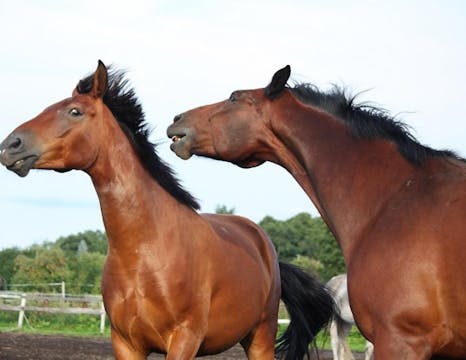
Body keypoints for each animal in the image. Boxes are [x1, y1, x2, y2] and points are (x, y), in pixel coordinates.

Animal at [0, 62, 334, 360]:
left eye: (74, 112)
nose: (10, 145)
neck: (145, 251)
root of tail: (265, 246)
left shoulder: (184, 339)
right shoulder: (126, 344)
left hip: (260, 338)